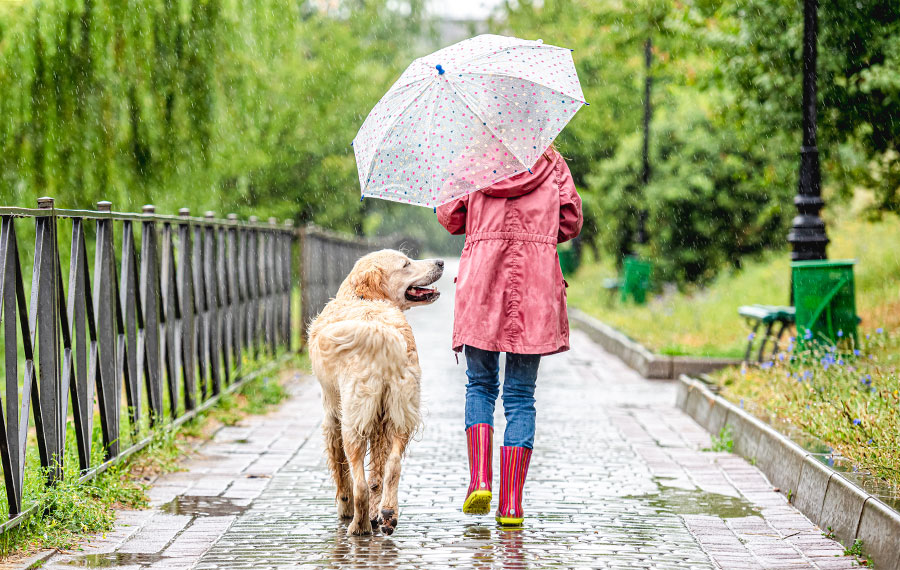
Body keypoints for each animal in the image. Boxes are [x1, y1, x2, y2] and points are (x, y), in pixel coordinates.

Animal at [308, 248, 444, 532]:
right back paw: (388, 514)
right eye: (406, 264)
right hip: (400, 413)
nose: (441, 262)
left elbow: (342, 472)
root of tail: (380, 331)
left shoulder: (331, 415)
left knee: (359, 482)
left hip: (353, 419)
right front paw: (376, 512)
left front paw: (346, 508)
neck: (362, 298)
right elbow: (378, 474)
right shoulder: (381, 419)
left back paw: (358, 526)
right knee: (392, 466)